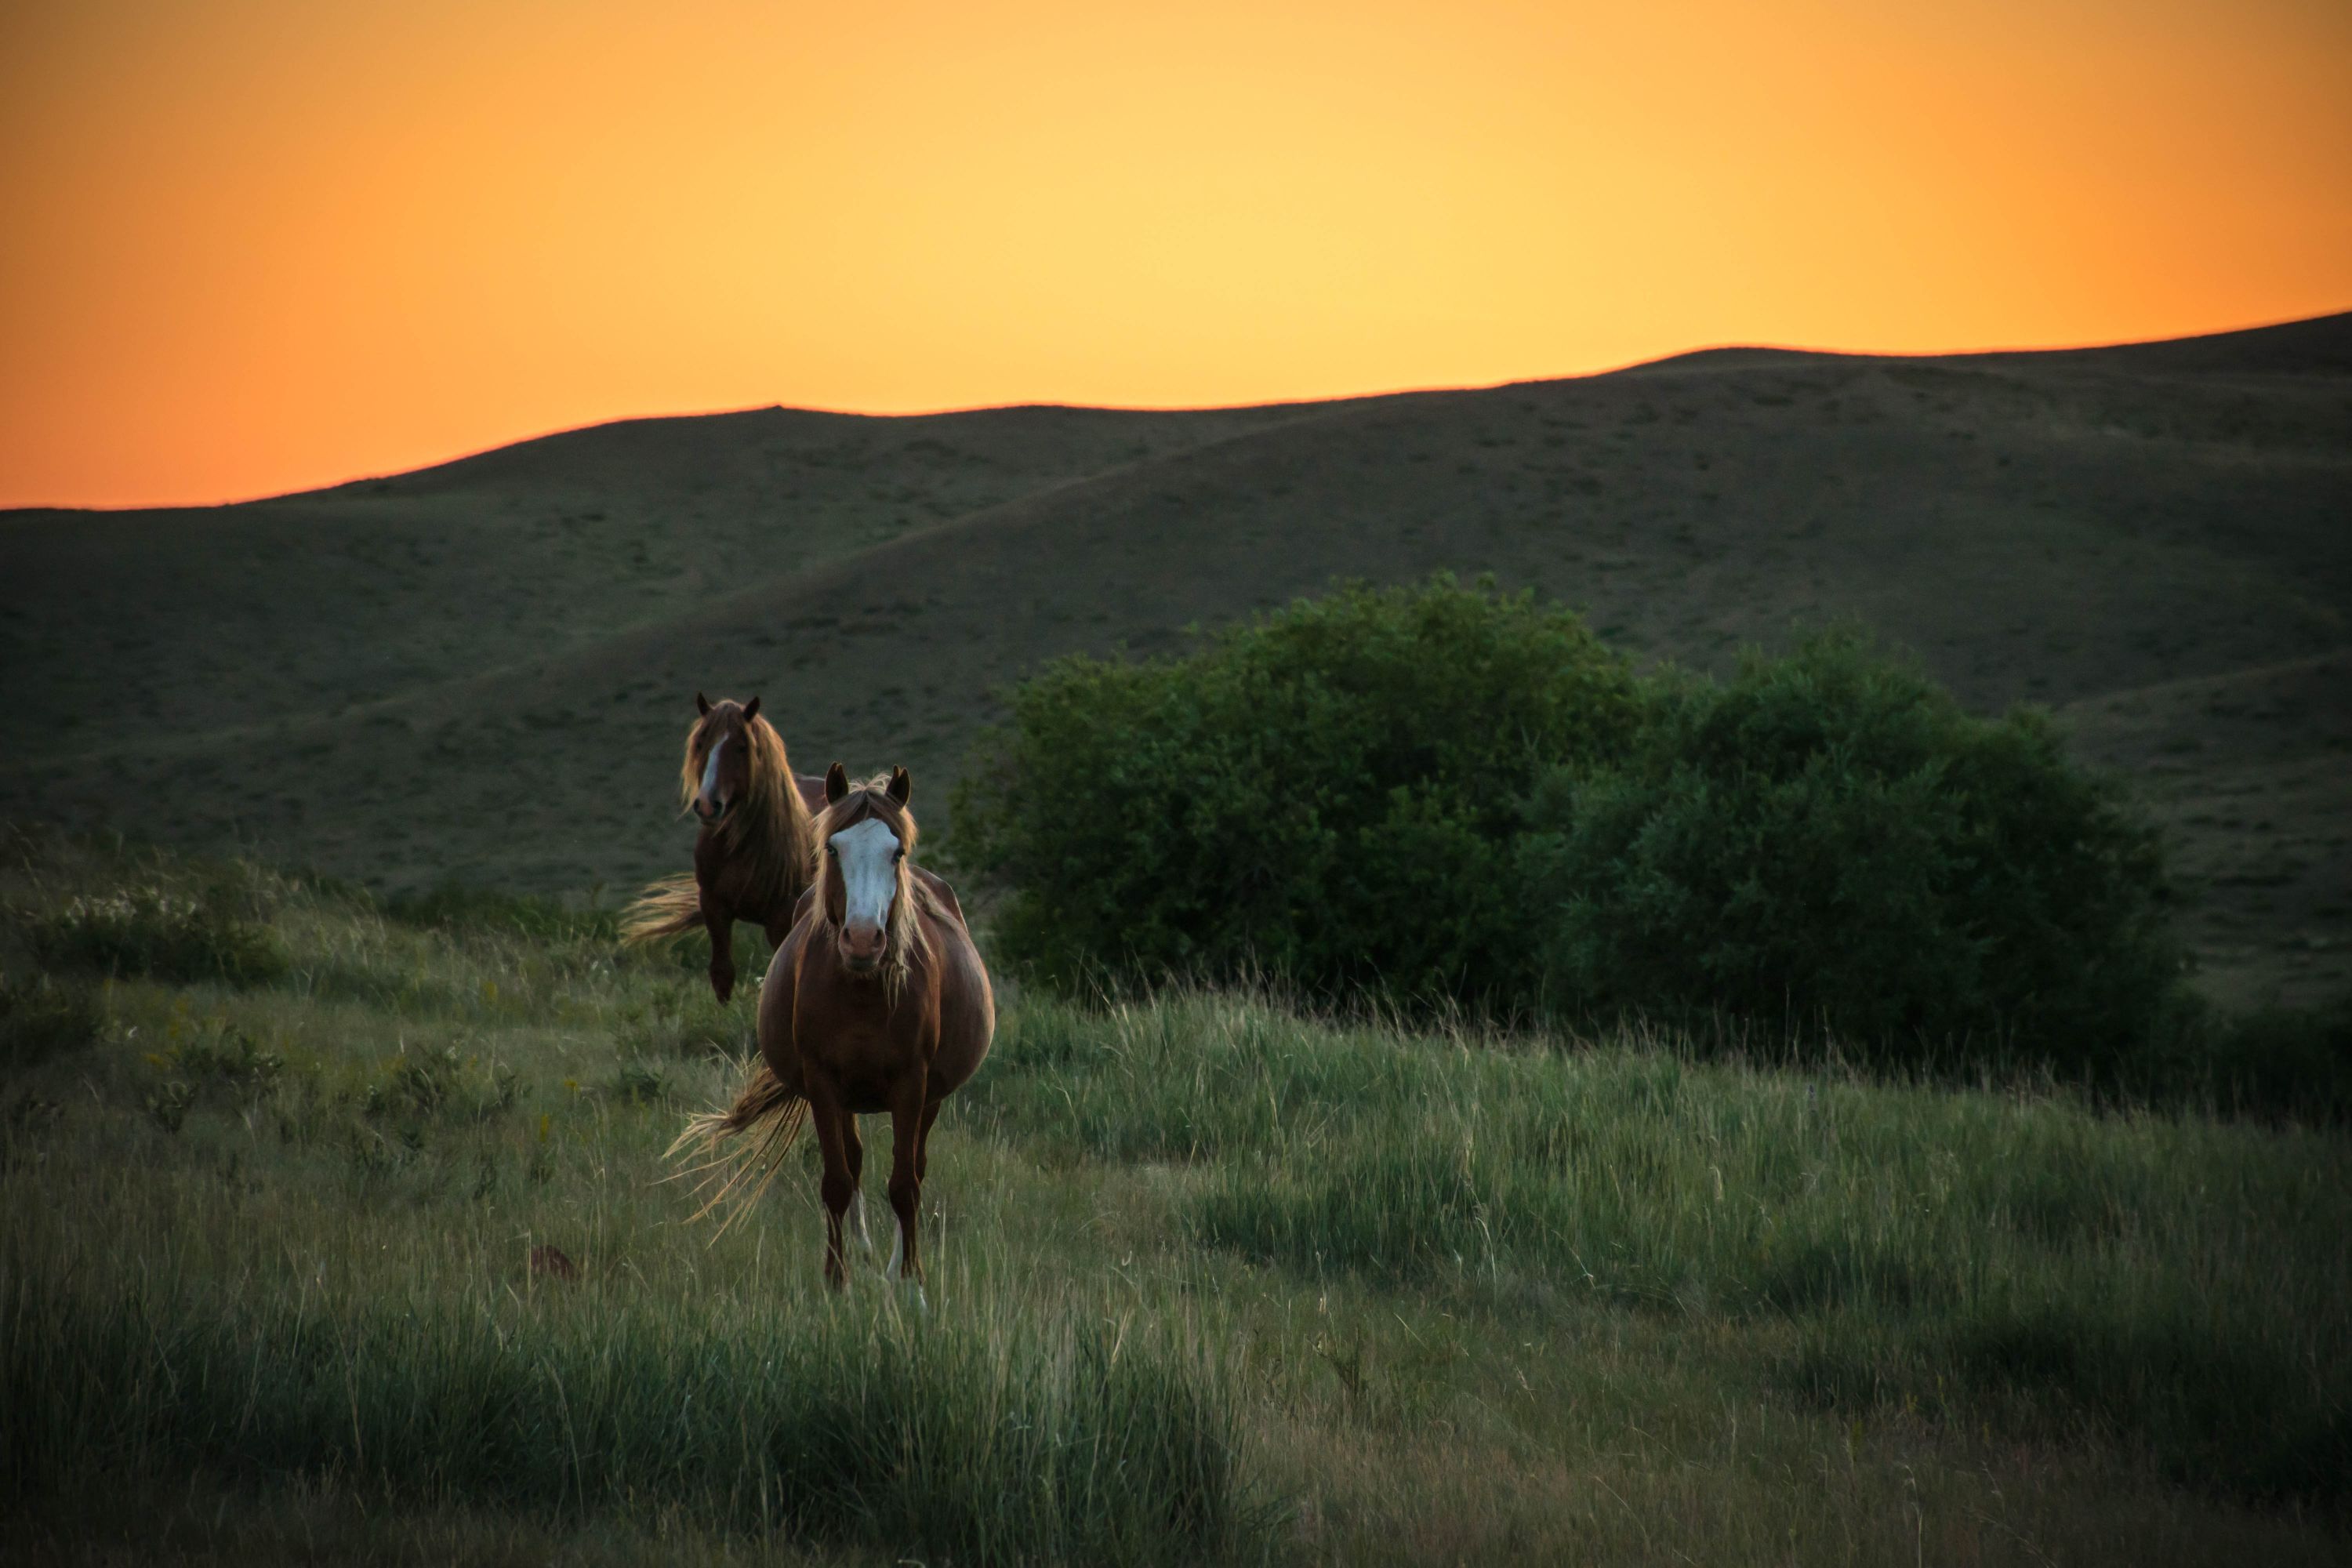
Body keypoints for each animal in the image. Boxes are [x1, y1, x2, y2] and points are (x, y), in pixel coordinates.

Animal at [621, 695, 823, 1006]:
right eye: (701, 743)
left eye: (742, 747)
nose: (707, 805)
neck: (739, 846)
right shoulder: (714, 906)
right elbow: (722, 973)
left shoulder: (780, 918)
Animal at [673, 766, 993, 1307]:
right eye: (833, 849)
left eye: (896, 853)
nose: (863, 940)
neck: (861, 991)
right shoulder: (823, 1084)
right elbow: (838, 1183)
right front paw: (837, 1284)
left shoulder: (912, 1086)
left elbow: (905, 1186)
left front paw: (912, 1287)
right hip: (847, 1098)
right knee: (857, 1163)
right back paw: (863, 1258)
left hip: (930, 1098)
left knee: (915, 1167)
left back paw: (892, 1267)